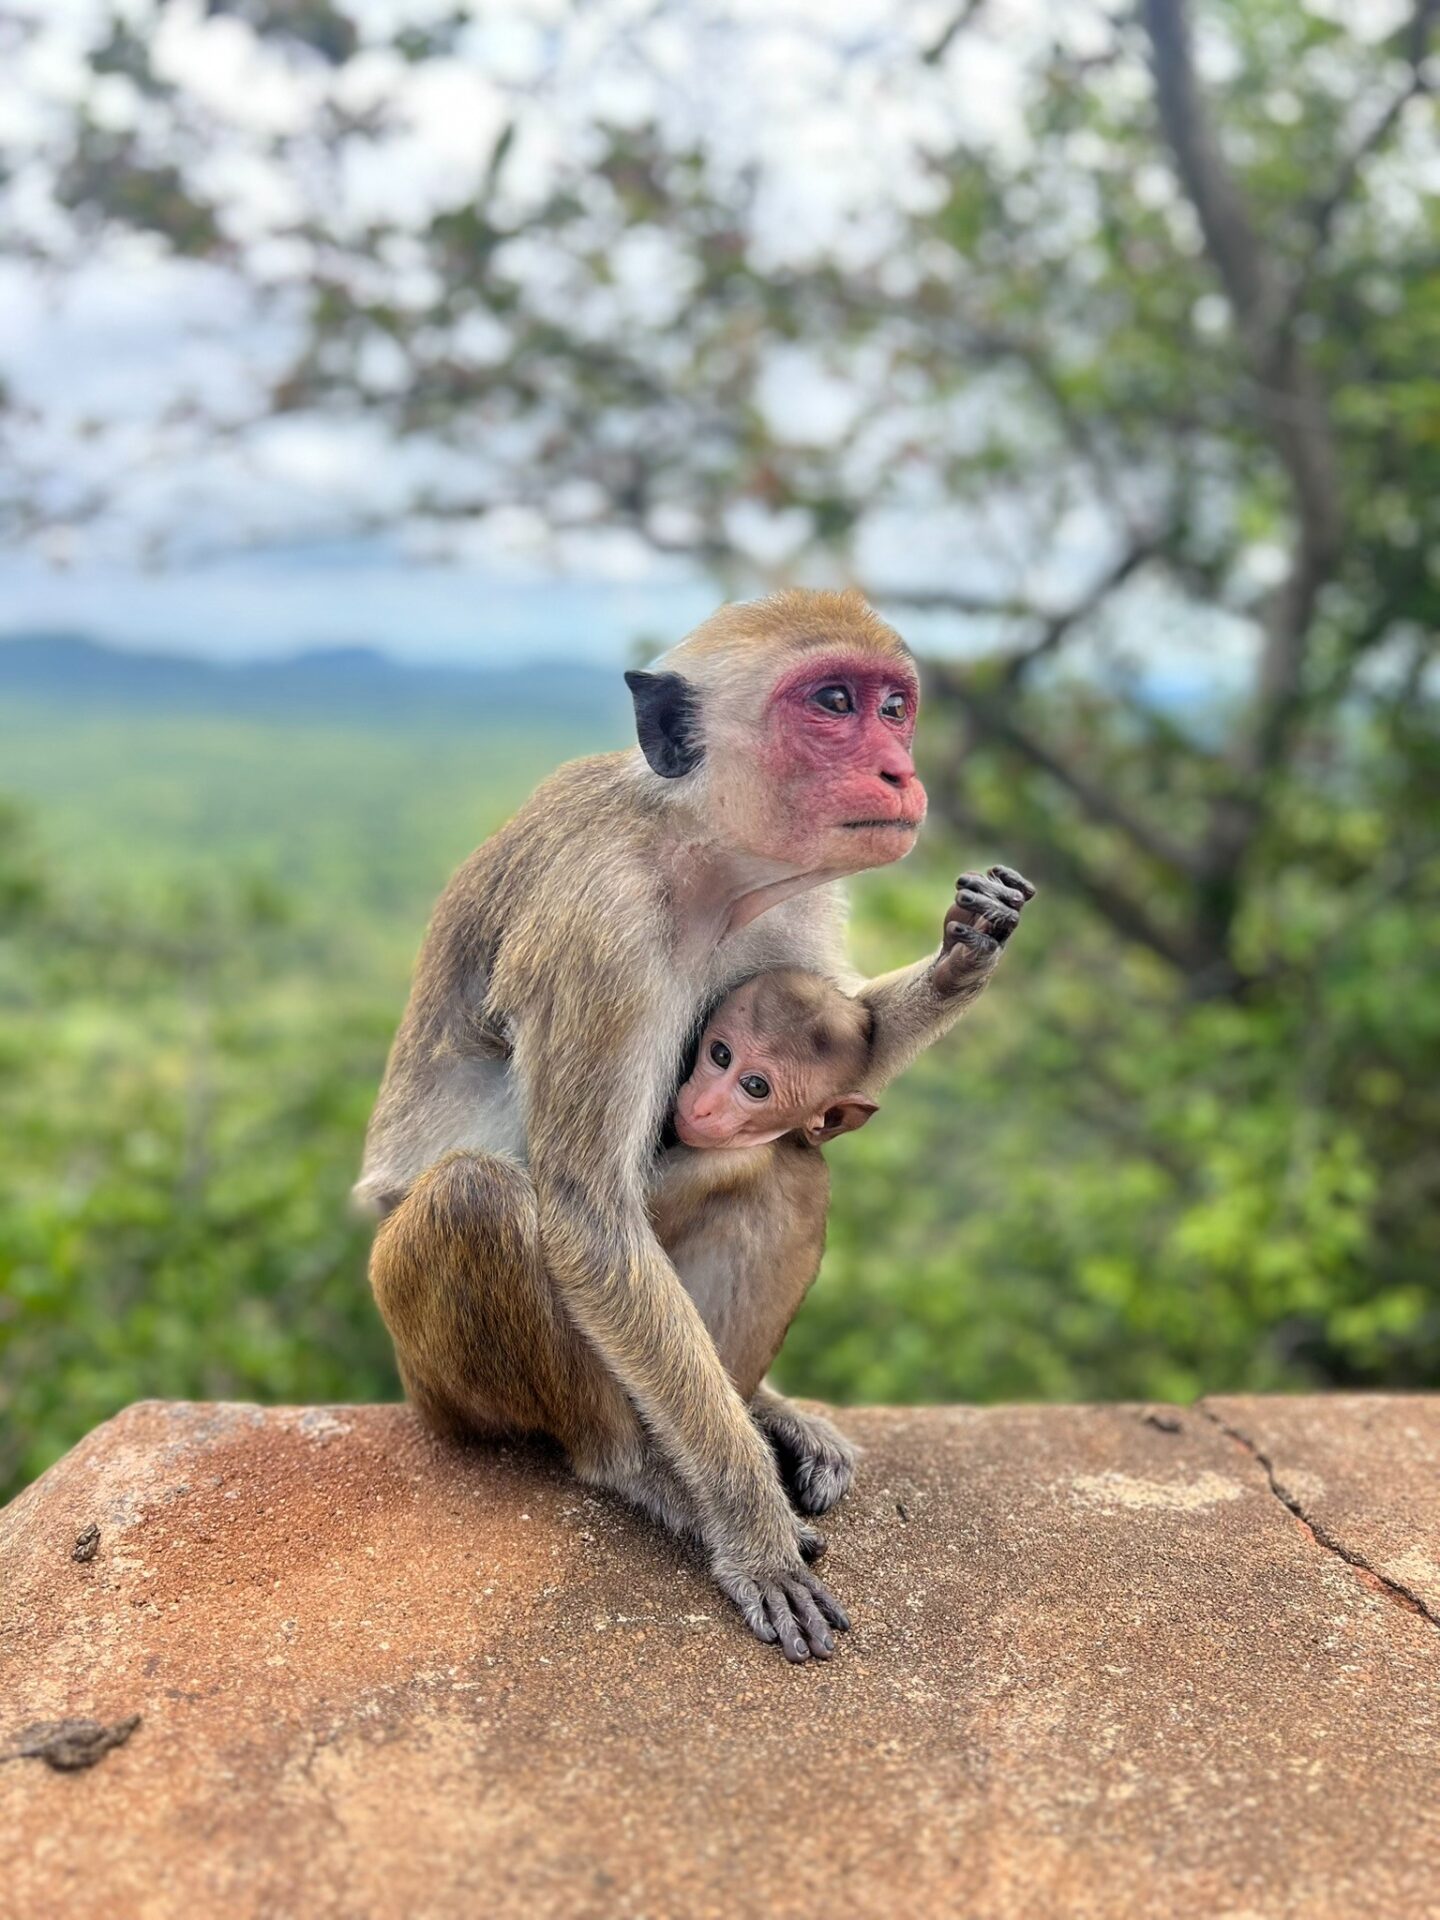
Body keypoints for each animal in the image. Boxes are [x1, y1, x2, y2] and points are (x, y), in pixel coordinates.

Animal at [357, 588, 1035, 1662]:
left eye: (894, 708)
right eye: (833, 702)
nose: (899, 769)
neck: (701, 858)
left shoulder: (790, 904)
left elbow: (841, 1054)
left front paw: (965, 953)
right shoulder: (602, 931)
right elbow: (589, 1216)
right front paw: (750, 1528)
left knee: (785, 1172)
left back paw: (757, 1403)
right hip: (435, 1378)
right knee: (478, 1198)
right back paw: (641, 1468)